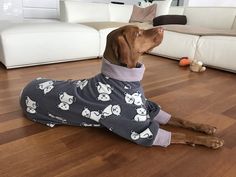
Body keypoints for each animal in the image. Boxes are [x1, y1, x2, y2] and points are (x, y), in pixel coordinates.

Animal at [19, 24, 223, 149]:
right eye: (139, 33)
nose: (163, 27)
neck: (123, 80)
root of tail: (25, 88)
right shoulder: (137, 129)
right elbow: (178, 134)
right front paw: (208, 141)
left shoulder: (147, 107)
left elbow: (180, 120)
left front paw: (204, 127)